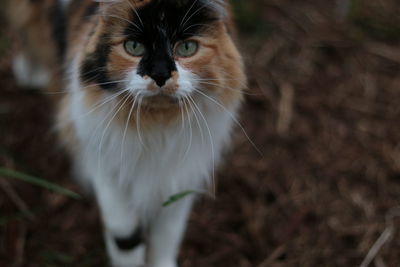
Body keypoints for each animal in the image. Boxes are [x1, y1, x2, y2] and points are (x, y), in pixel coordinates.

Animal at [8, 0, 247, 267]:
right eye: (134, 47)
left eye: (187, 48)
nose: (160, 75)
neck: (157, 128)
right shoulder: (107, 170)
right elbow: (126, 238)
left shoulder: (180, 174)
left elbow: (167, 233)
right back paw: (29, 72)